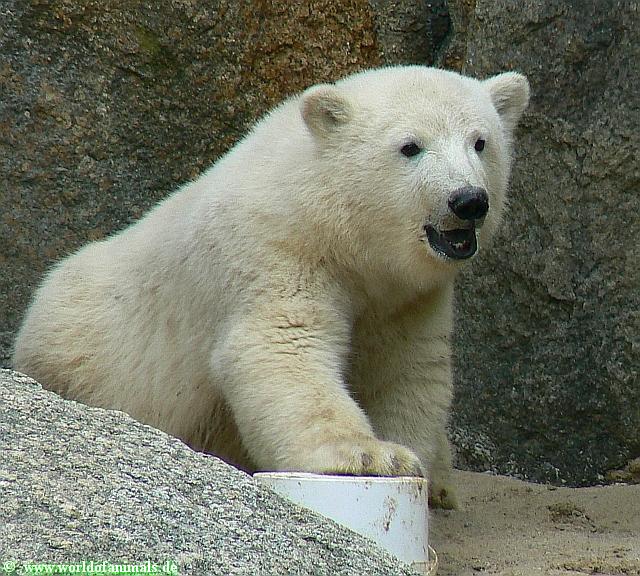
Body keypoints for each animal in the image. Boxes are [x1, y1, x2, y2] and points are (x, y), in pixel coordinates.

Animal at [13, 65, 529, 509]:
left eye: (480, 142)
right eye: (410, 147)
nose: (468, 201)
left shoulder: (409, 297)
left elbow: (407, 370)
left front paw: (410, 460)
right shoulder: (274, 252)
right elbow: (281, 347)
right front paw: (368, 454)